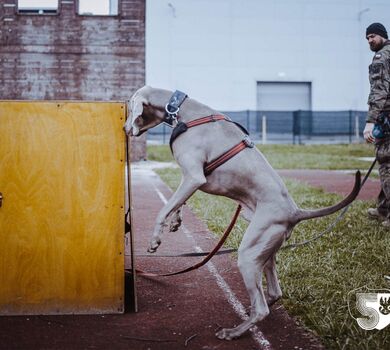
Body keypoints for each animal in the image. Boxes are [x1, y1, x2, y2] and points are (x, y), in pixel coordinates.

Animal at [124, 86, 360, 340]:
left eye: (129, 108)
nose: (125, 128)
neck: (181, 110)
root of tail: (295, 212)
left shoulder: (194, 176)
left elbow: (163, 208)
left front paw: (155, 240)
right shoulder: (190, 178)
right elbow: (177, 202)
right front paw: (176, 221)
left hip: (248, 253)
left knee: (262, 308)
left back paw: (234, 331)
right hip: (265, 249)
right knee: (274, 293)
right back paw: (248, 314)